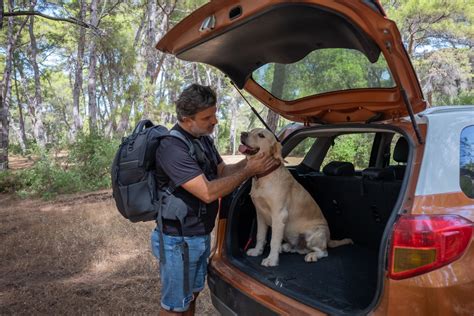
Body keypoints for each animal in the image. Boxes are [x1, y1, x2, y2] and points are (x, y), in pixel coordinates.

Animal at [241, 128, 352, 266]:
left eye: (261, 135)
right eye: (251, 131)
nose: (242, 134)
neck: (264, 176)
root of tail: (328, 238)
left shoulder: (279, 215)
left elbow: (273, 241)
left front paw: (272, 260)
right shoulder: (260, 214)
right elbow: (260, 236)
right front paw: (257, 251)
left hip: (314, 234)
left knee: (323, 251)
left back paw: (312, 255)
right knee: (299, 249)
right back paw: (286, 247)